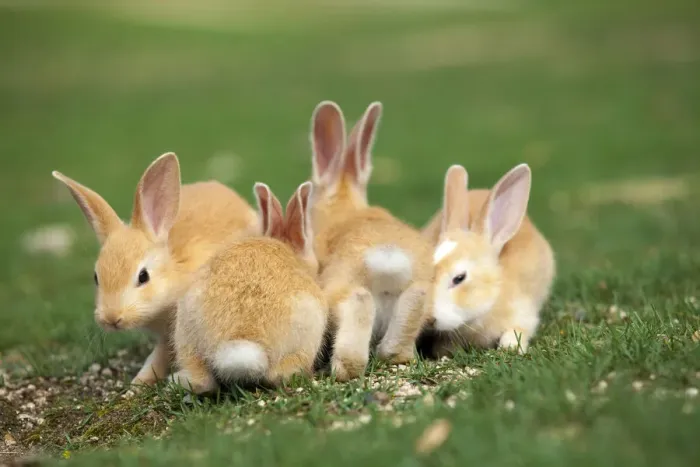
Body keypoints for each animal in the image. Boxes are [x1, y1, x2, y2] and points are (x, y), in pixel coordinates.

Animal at [308, 100, 434, 381]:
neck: (344, 210)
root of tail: (388, 258)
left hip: (339, 292)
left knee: (359, 303)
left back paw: (341, 370)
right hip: (420, 298)